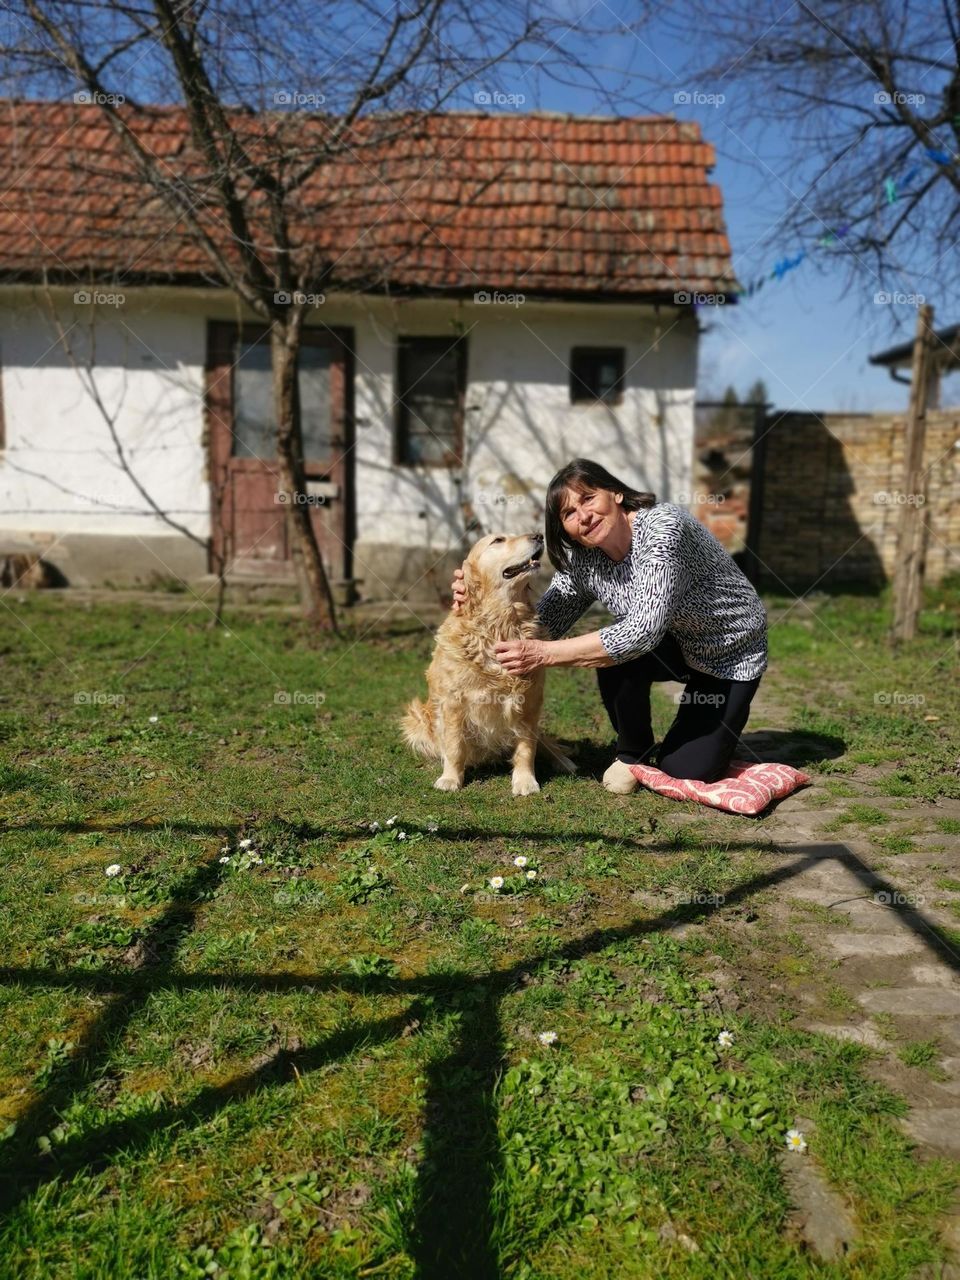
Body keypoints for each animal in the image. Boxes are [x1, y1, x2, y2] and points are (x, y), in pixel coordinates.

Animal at [399, 527, 576, 788]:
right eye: (498, 540)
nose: (538, 536)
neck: (500, 624)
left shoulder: (530, 700)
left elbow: (527, 747)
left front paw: (525, 781)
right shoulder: (453, 702)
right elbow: (454, 746)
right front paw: (450, 778)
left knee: (545, 742)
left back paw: (564, 761)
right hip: (417, 719)